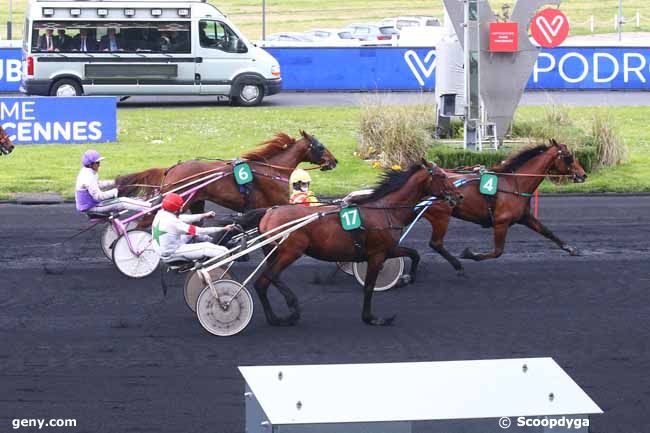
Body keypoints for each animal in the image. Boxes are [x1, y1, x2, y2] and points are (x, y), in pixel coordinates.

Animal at [116, 129, 336, 226]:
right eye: (320, 146)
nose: (334, 161)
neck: (272, 170)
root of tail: (171, 169)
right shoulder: (279, 201)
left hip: (196, 201)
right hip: (178, 199)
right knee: (147, 222)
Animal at [422, 138, 584, 274]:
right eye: (569, 156)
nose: (583, 175)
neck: (514, 183)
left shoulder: (525, 217)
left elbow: (548, 232)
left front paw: (572, 249)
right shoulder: (501, 222)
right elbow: (497, 252)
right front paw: (469, 254)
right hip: (441, 215)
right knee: (436, 243)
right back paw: (457, 265)